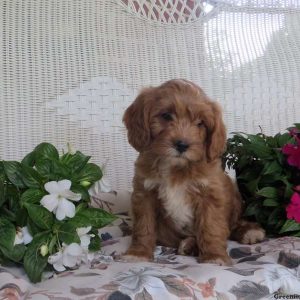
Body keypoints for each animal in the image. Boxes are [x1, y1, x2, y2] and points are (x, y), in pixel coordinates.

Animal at [122, 79, 264, 264]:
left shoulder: (210, 195)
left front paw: (214, 256)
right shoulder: (144, 193)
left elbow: (211, 227)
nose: (182, 145)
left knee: (234, 225)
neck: (176, 166)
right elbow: (143, 226)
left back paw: (249, 232)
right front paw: (138, 253)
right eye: (166, 116)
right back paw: (189, 244)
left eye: (200, 123)